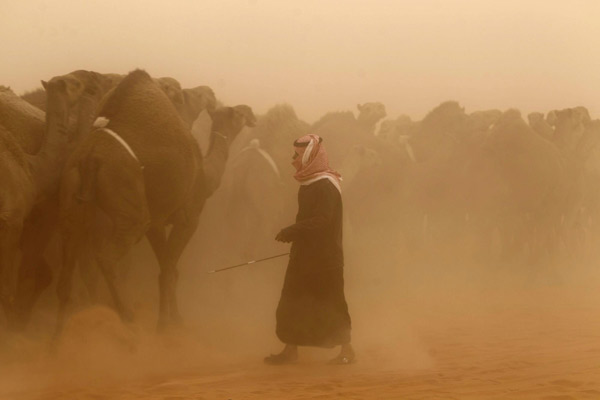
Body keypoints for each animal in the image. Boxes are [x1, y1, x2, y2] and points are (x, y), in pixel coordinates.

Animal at [59, 69, 258, 334]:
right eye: (240, 113)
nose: (252, 115)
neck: (206, 176)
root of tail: (90, 157)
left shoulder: (157, 221)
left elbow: (168, 268)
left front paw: (173, 318)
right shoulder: (187, 219)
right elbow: (169, 269)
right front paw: (166, 324)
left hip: (72, 200)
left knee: (67, 265)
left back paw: (59, 334)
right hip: (129, 205)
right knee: (107, 256)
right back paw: (127, 317)